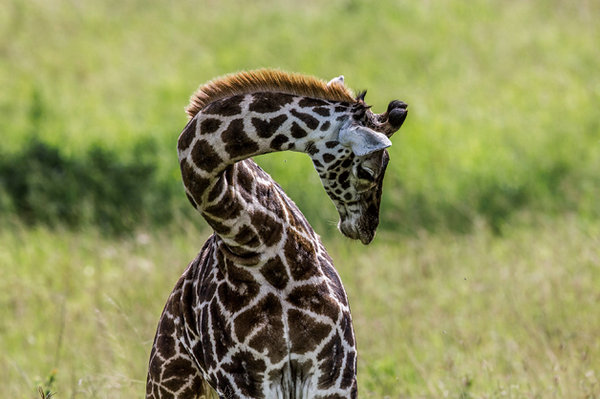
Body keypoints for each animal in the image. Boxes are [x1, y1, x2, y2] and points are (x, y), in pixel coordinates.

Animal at [145, 69, 408, 399]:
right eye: (368, 171)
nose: (367, 227)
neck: (260, 247)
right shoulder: (245, 380)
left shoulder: (333, 372)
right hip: (169, 386)